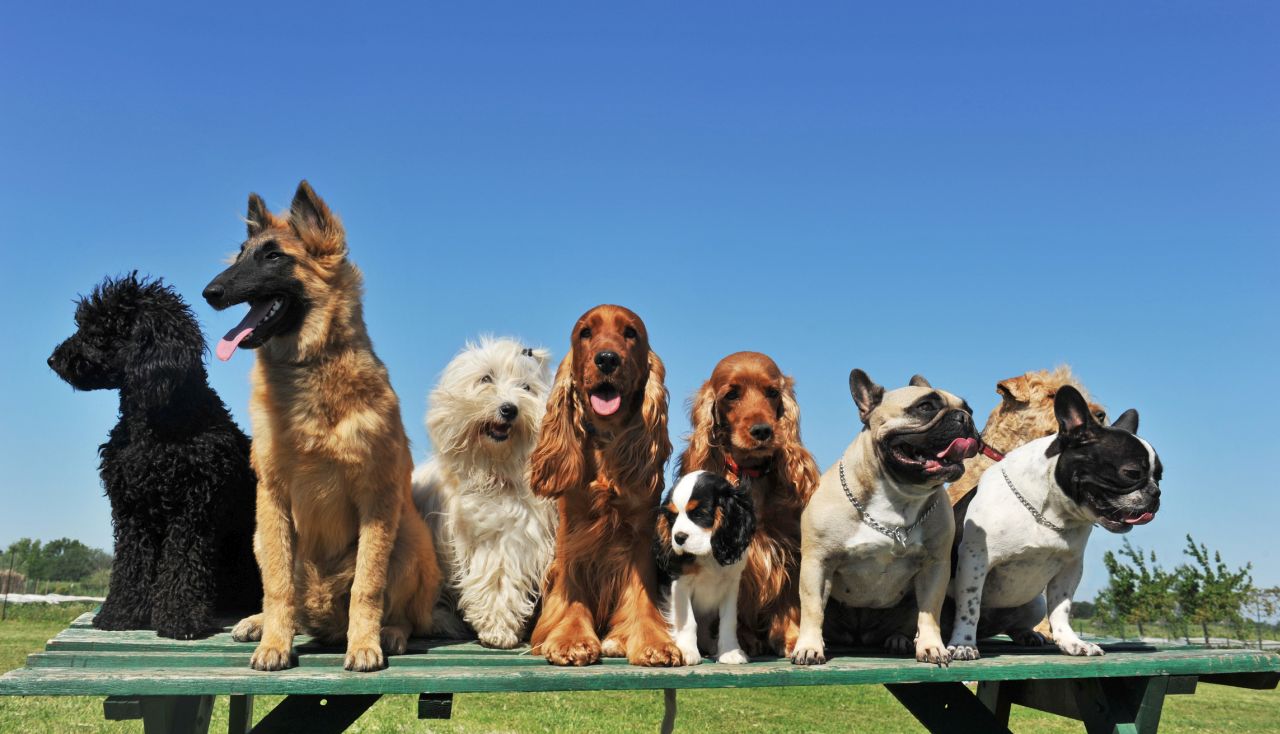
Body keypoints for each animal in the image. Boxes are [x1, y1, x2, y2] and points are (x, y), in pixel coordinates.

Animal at [200, 181, 440, 671]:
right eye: (241, 255)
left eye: (273, 256)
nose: (209, 292)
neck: (310, 368)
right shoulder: (272, 499)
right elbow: (277, 586)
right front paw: (274, 643)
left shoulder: (377, 498)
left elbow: (368, 585)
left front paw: (363, 643)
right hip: (261, 536)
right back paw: (262, 623)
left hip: (409, 537)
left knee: (404, 612)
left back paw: (390, 633)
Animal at [412, 338, 558, 645]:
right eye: (486, 378)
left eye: (526, 387)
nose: (509, 409)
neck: (493, 470)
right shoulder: (493, 541)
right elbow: (497, 579)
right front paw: (498, 629)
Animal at [655, 468, 752, 666]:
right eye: (673, 517)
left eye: (700, 514)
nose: (678, 537)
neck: (708, 553)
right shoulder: (680, 584)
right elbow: (688, 621)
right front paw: (687, 651)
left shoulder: (731, 586)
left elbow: (728, 621)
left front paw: (730, 652)